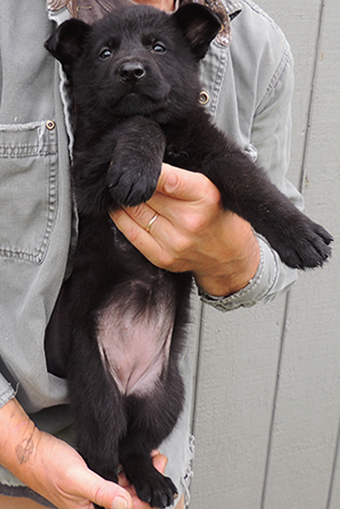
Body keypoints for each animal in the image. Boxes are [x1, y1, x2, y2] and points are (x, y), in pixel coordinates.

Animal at [44, 4, 332, 508]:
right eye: (105, 53)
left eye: (158, 48)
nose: (132, 71)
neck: (172, 135)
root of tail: (129, 385)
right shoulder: (91, 175)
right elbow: (135, 125)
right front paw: (138, 167)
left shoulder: (218, 156)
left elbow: (259, 192)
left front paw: (300, 236)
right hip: (97, 392)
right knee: (101, 454)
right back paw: (109, 487)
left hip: (168, 397)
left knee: (136, 446)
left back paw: (153, 481)